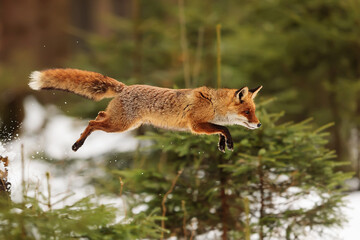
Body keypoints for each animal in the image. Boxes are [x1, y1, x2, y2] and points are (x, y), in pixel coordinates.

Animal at [28, 68, 262, 153]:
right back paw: (78, 143)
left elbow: (221, 129)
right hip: (120, 126)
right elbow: (225, 128)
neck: (213, 104)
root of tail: (125, 87)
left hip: (120, 122)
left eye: (253, 111)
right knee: (92, 123)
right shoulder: (195, 125)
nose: (259, 124)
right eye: (247, 112)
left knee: (99, 116)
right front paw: (228, 141)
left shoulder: (204, 125)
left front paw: (223, 144)